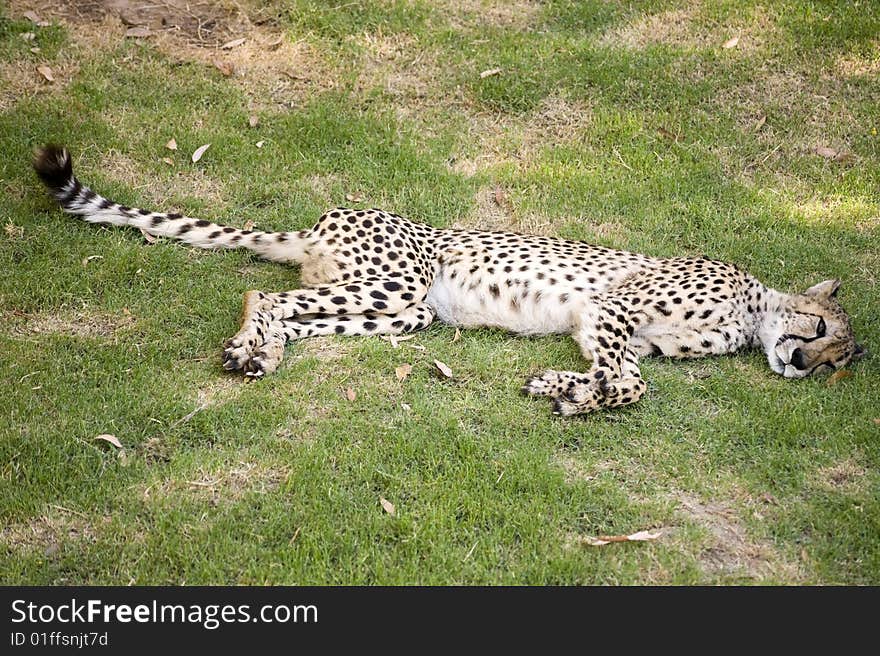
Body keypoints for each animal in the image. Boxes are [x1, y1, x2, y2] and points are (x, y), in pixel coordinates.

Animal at [32, 146, 860, 418]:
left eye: (838, 363)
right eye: (820, 332)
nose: (803, 363)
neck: (753, 314)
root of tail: (330, 217)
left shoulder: (606, 330)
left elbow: (619, 376)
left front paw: (561, 388)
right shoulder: (613, 307)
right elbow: (631, 381)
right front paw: (575, 395)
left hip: (401, 312)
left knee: (292, 312)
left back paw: (263, 352)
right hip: (397, 287)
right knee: (265, 294)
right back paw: (246, 348)